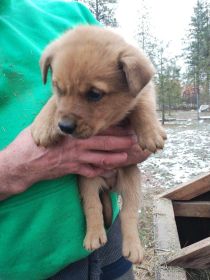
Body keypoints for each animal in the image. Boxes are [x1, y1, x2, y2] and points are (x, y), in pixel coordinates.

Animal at [31, 25, 167, 264]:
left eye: (94, 94)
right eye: (58, 88)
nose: (64, 126)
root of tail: (110, 184)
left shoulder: (144, 91)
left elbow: (143, 105)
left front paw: (151, 131)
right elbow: (53, 103)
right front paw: (43, 125)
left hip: (132, 181)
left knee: (128, 213)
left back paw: (133, 247)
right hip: (87, 181)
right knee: (92, 206)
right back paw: (94, 236)